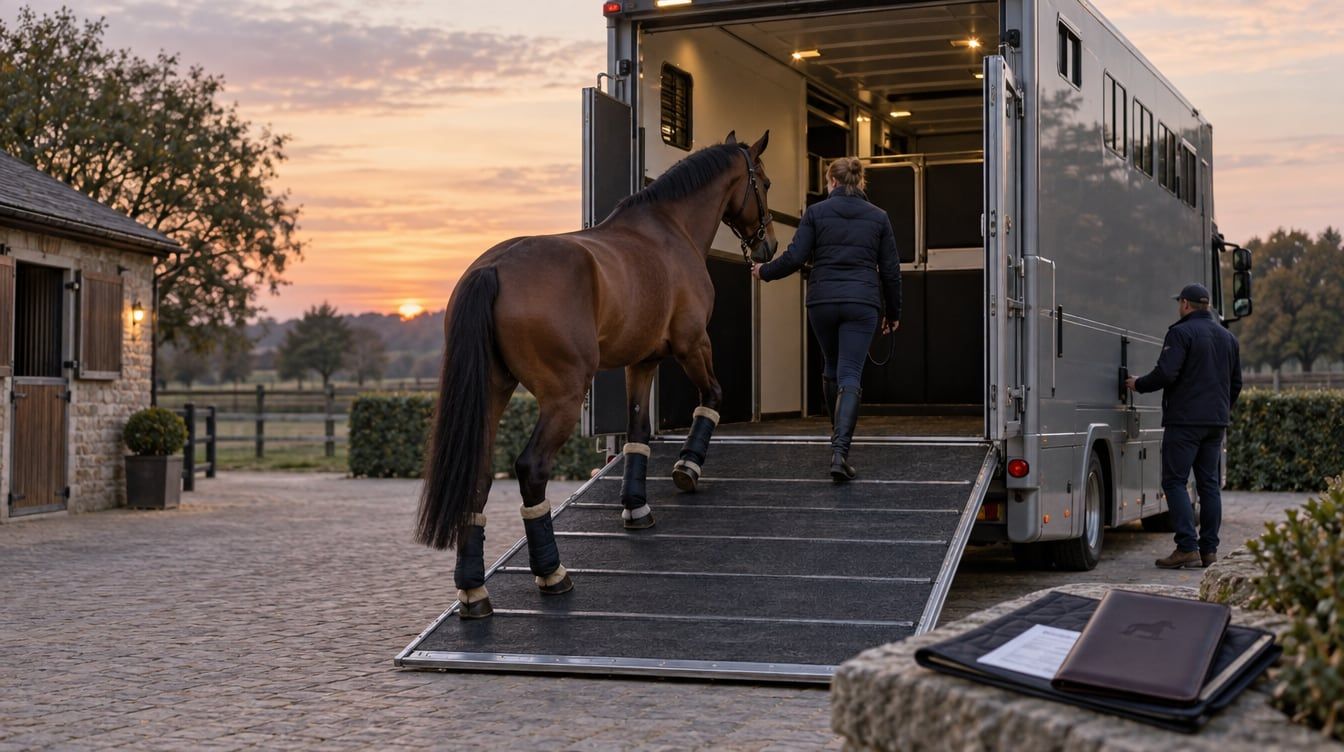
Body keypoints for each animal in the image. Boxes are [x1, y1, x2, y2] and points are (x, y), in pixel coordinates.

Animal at [415, 130, 778, 618]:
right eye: (766, 183)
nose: (768, 247)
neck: (670, 230)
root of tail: (493, 268)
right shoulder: (691, 344)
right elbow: (713, 396)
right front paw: (687, 467)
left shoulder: (642, 361)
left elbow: (638, 432)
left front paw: (636, 507)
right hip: (564, 396)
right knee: (531, 468)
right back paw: (553, 573)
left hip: (494, 391)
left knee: (480, 475)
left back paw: (474, 591)